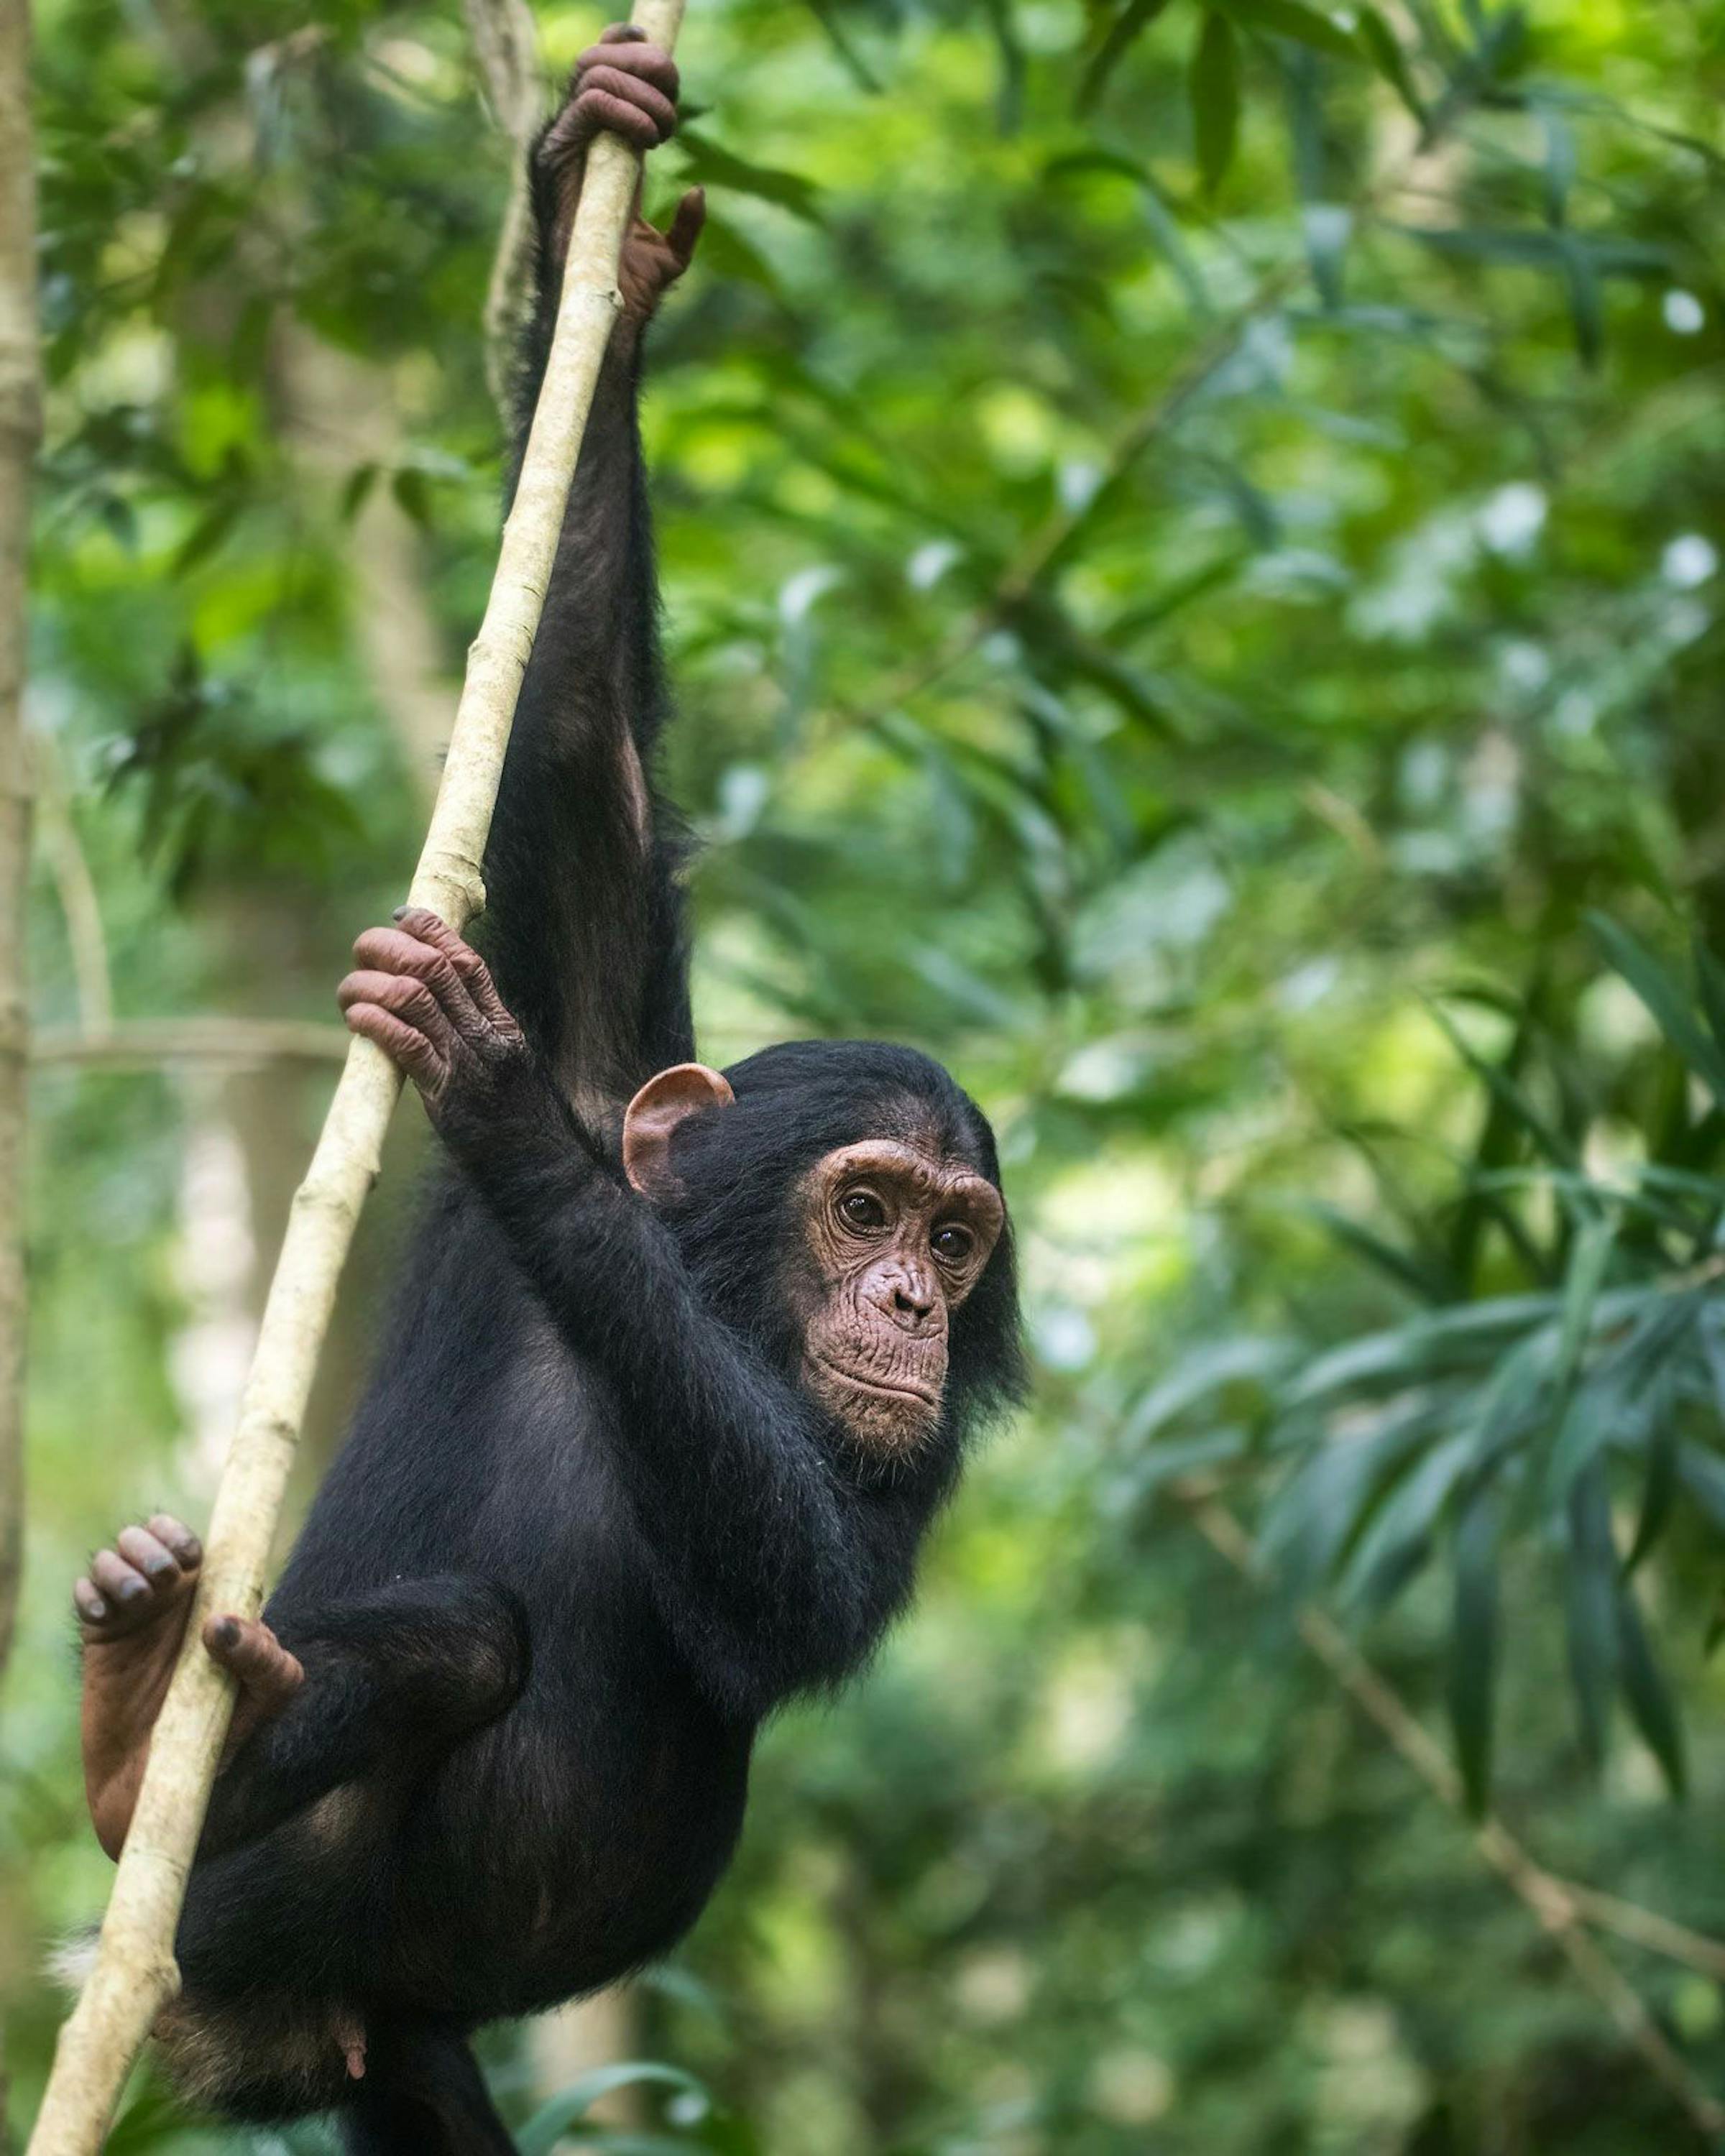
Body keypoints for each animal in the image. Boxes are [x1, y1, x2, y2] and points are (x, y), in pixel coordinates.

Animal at [71, 30, 1024, 2154]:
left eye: (954, 1237)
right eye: (861, 1203)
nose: (905, 1304)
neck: (716, 1305)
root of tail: (257, 2026)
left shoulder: (894, 1472)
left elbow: (802, 1576)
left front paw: (489, 1094)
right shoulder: (614, 1028)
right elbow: (577, 736)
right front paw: (596, 200)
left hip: (382, 2030)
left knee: (466, 1646)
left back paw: (136, 1732)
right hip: (239, 1928)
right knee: (446, 1647)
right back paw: (137, 1728)